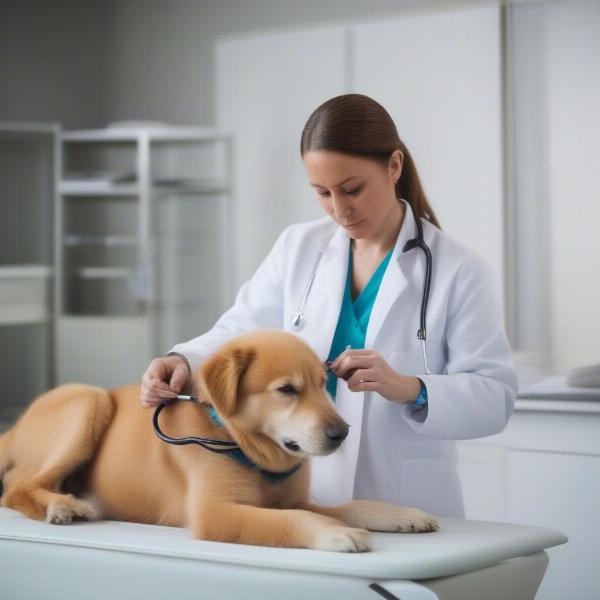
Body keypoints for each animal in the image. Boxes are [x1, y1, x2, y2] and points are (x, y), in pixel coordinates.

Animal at [1, 330, 440, 552]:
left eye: (322, 383)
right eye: (287, 390)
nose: (341, 433)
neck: (244, 447)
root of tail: (12, 429)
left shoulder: (297, 499)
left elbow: (350, 506)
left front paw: (401, 514)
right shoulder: (216, 515)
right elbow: (293, 521)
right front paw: (334, 533)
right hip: (88, 400)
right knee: (17, 488)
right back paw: (62, 505)